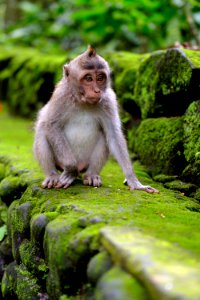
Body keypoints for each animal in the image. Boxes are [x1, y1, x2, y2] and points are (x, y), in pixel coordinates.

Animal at [34, 45, 159, 193]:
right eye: (88, 78)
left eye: (100, 78)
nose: (97, 90)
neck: (82, 102)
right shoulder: (61, 96)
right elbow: (51, 125)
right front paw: (70, 170)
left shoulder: (109, 100)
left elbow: (113, 135)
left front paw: (133, 180)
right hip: (60, 162)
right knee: (43, 130)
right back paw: (53, 175)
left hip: (86, 164)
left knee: (104, 135)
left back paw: (92, 175)